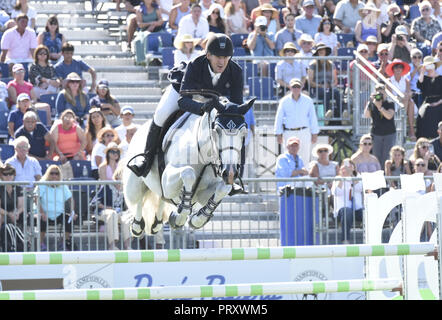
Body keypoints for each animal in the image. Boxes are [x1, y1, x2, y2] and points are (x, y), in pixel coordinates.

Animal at [122, 91, 254, 236]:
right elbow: (188, 173)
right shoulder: (167, 180)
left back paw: (156, 223)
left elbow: (223, 189)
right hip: (134, 184)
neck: (205, 156)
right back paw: (137, 225)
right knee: (138, 199)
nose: (230, 173)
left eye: (244, 133)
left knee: (161, 198)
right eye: (216, 131)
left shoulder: (205, 192)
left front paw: (198, 219)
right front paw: (178, 218)